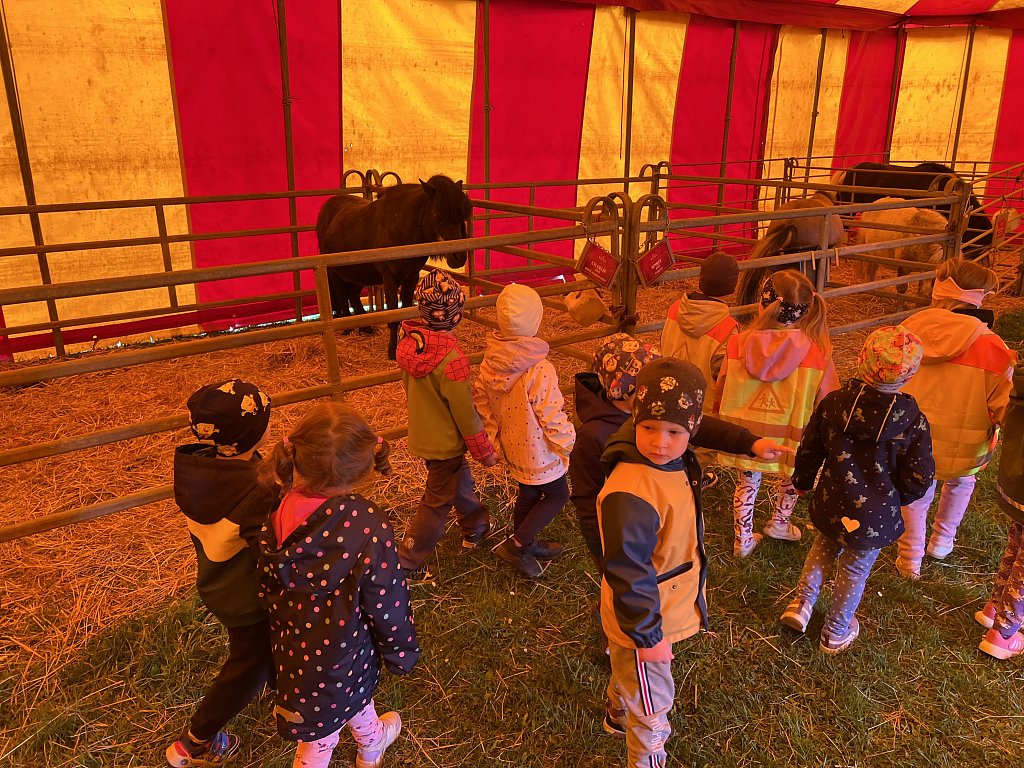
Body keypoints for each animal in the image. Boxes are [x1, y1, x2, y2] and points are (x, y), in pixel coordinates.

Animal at [317, 175, 472, 360]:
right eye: (437, 213)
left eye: (461, 216)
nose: (459, 257)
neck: (402, 229)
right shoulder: (390, 279)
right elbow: (393, 314)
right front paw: (392, 351)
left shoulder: (410, 278)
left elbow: (404, 311)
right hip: (335, 273)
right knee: (341, 294)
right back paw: (347, 328)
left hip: (358, 274)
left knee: (353, 295)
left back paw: (365, 328)